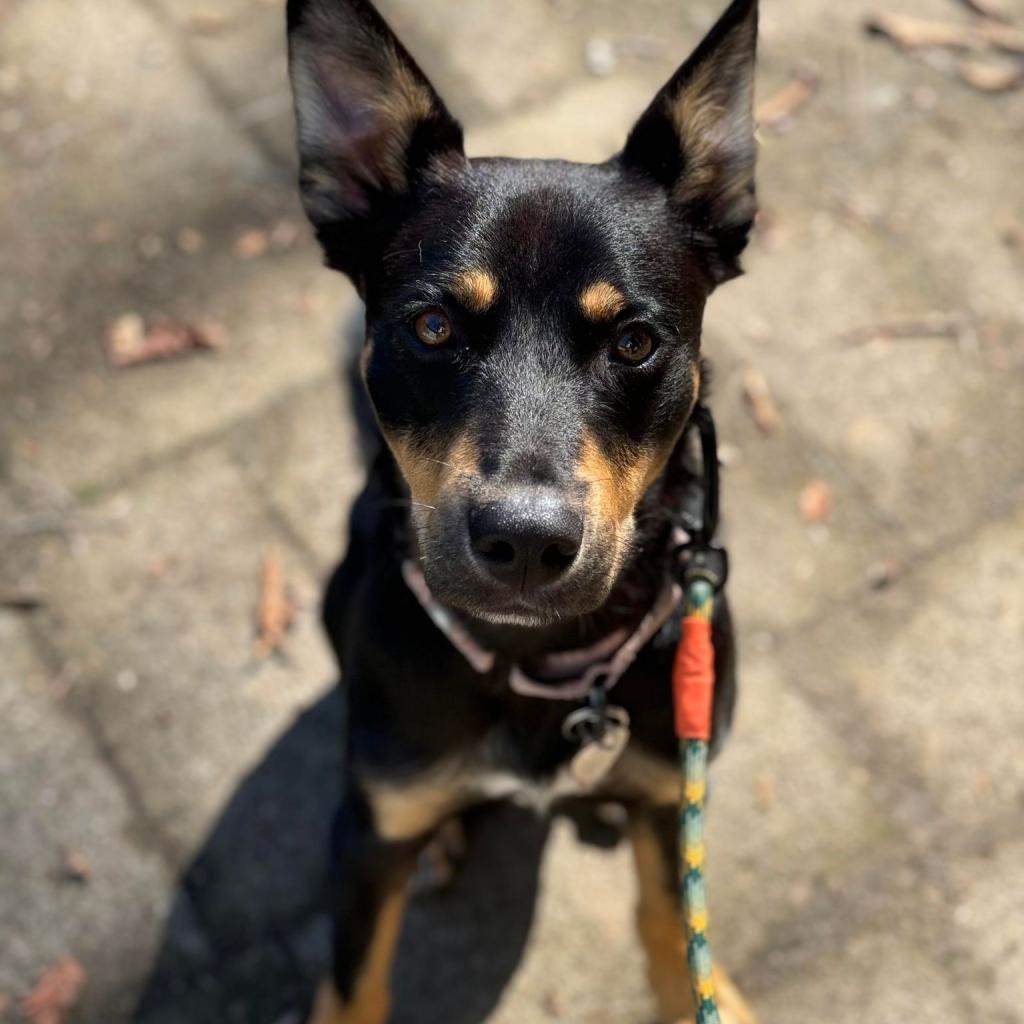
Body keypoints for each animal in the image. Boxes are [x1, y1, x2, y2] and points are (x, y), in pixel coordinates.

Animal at [286, 4, 761, 1019]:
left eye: (635, 341)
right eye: (432, 328)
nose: (528, 542)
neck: (538, 660)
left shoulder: (671, 792)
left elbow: (675, 929)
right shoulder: (364, 841)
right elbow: (354, 984)